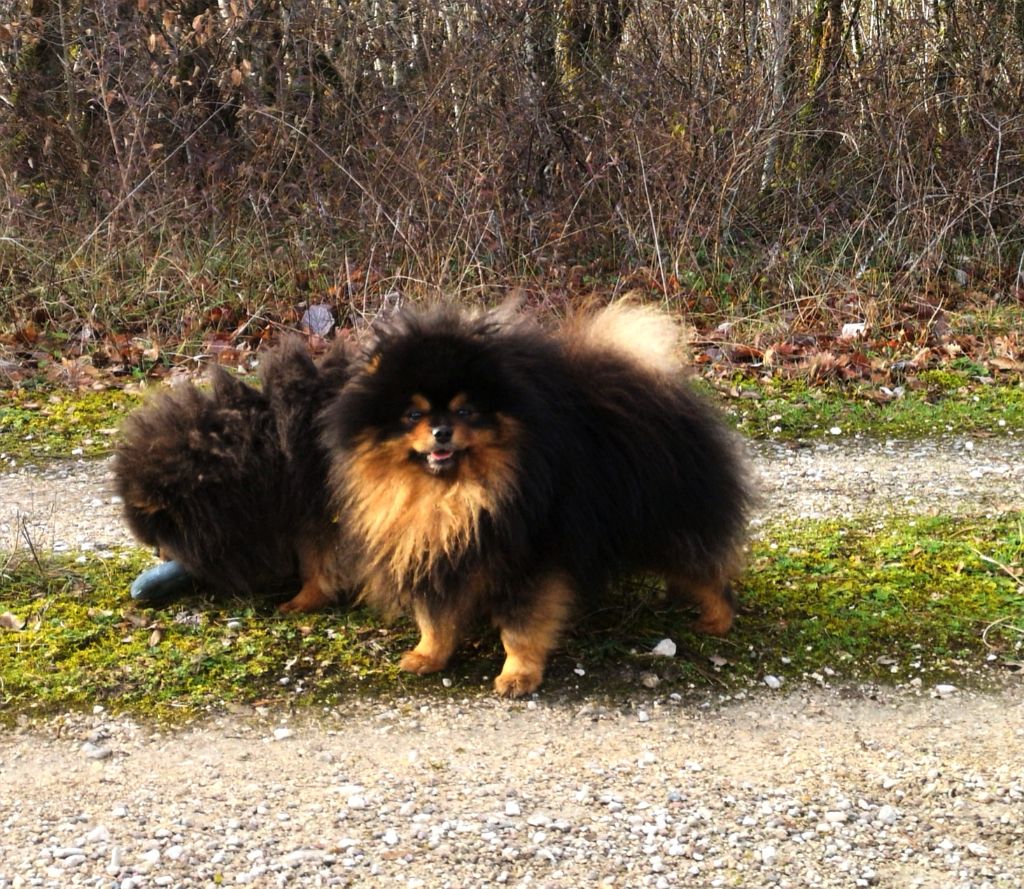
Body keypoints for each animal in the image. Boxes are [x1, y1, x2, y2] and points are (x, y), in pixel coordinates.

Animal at [319, 301, 753, 696]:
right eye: (413, 415)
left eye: (466, 411)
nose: (442, 431)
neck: (452, 494)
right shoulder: (432, 554)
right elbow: (435, 620)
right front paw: (428, 656)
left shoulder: (528, 561)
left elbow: (520, 630)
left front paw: (518, 676)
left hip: (664, 526)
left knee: (707, 571)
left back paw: (717, 619)